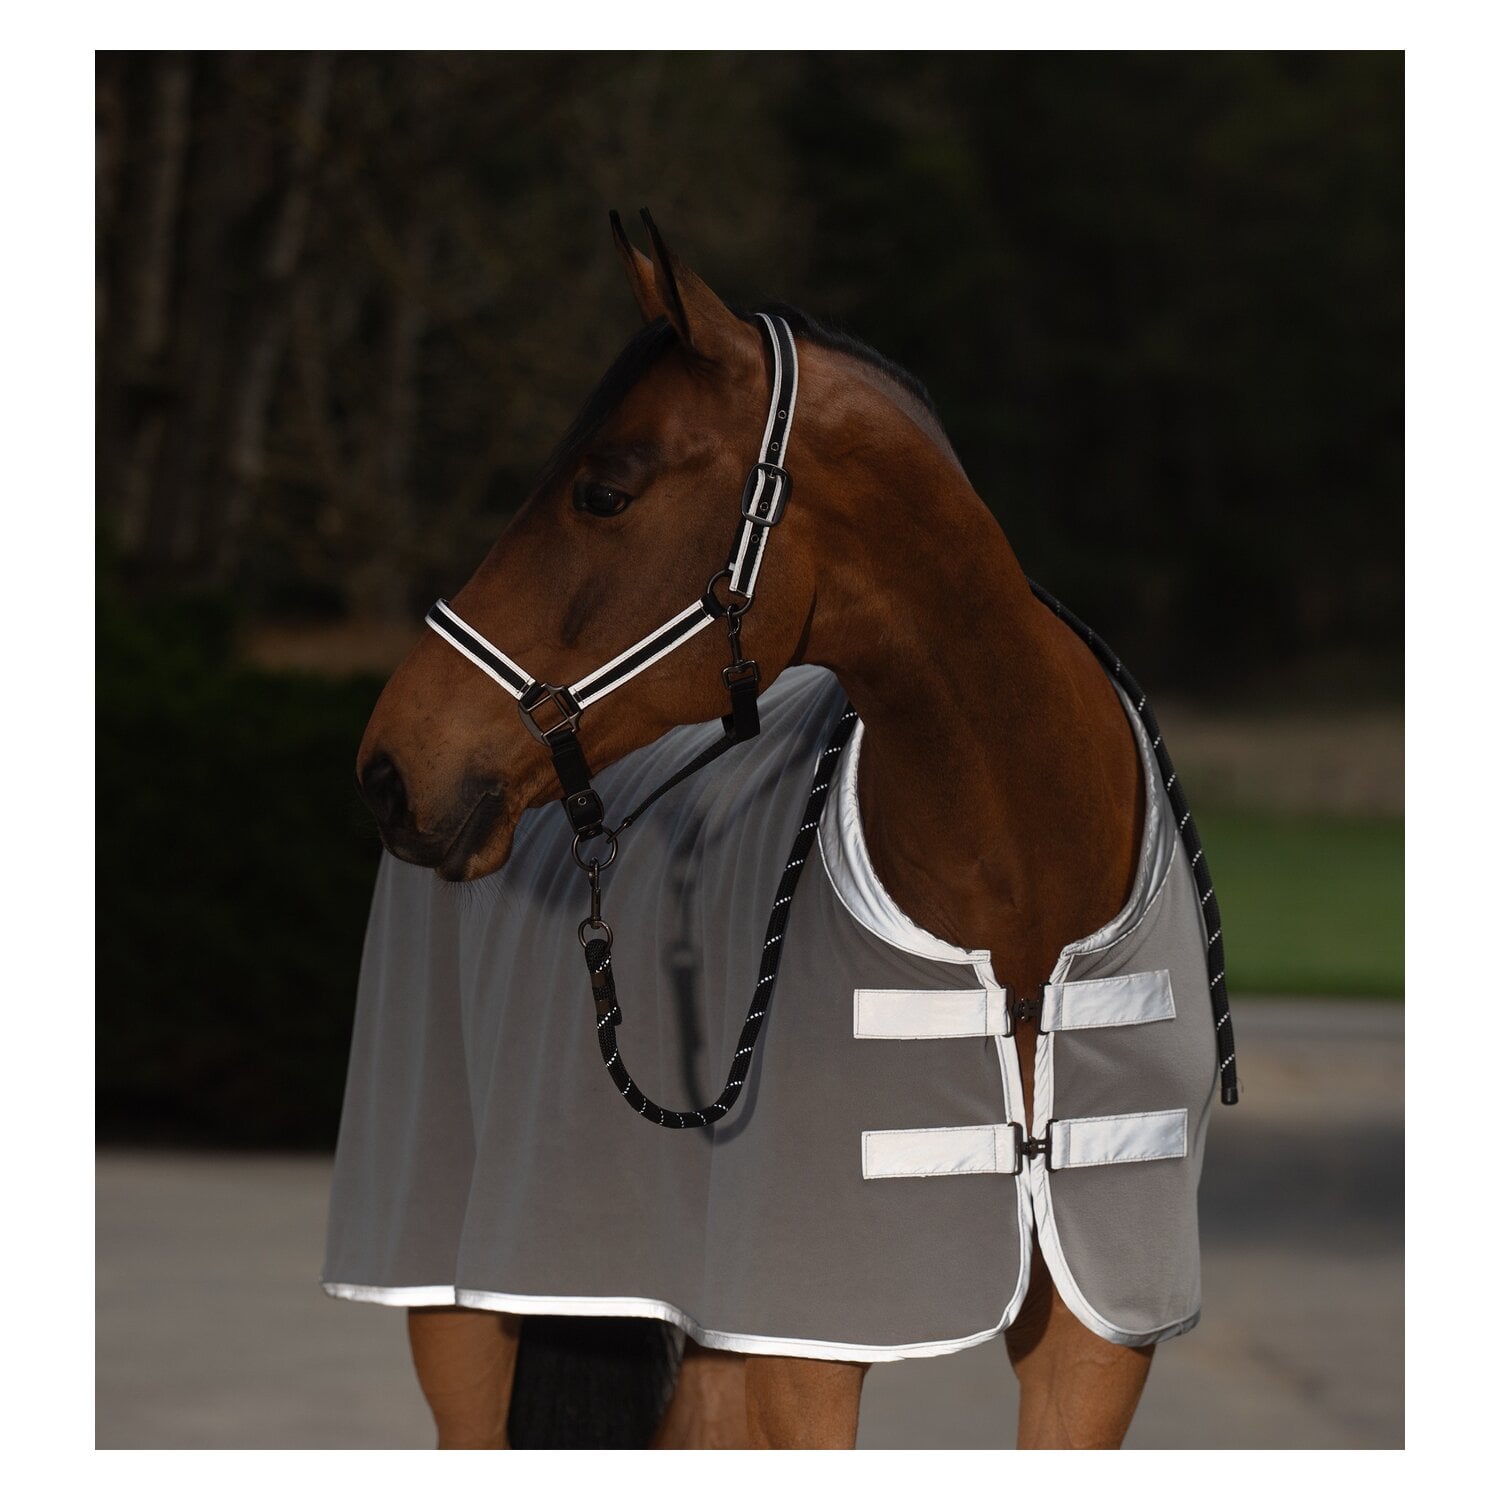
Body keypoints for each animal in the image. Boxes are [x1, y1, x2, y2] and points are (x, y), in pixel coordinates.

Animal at [337, 211, 1235, 1449]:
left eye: (604, 493)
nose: (391, 769)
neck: (1023, 890)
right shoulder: (806, 1331)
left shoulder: (1099, 1333)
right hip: (460, 1305)